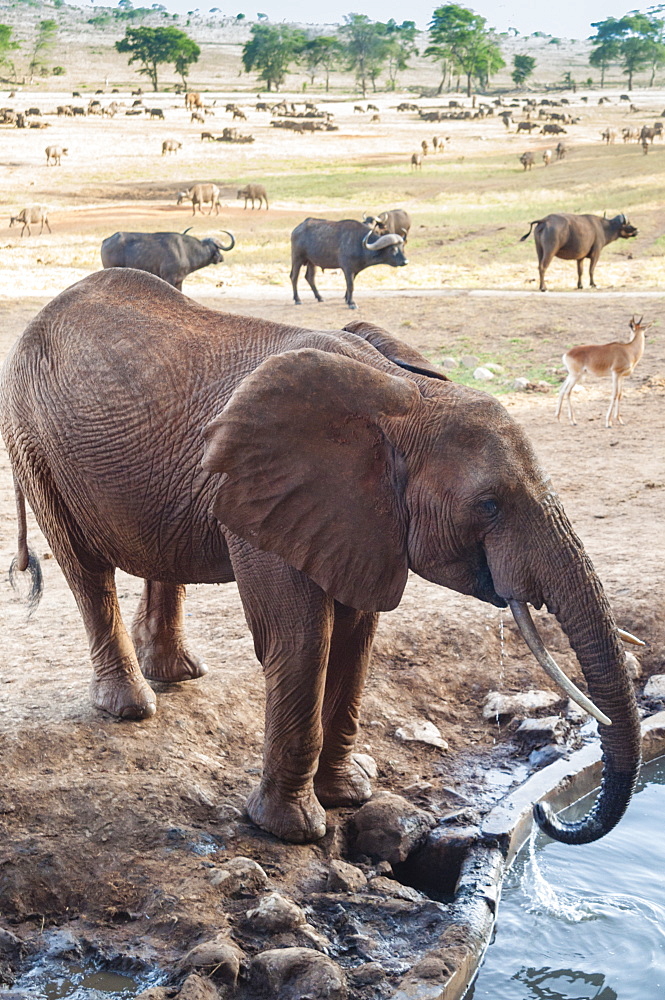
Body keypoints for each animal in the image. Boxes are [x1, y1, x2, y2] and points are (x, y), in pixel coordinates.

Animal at [2, 270, 640, 848]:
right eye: (488, 505)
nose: (546, 815)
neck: (405, 398)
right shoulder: (268, 495)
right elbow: (303, 635)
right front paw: (291, 831)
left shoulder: (355, 516)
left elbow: (357, 635)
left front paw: (348, 795)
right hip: (34, 441)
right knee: (86, 567)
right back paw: (132, 706)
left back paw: (178, 674)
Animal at [98, 233, 233, 292]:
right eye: (218, 248)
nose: (221, 258)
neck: (185, 251)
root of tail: (106, 240)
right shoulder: (169, 277)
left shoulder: (179, 281)